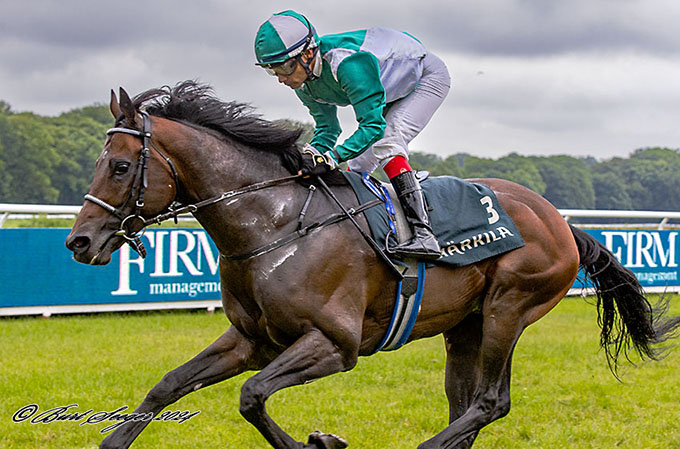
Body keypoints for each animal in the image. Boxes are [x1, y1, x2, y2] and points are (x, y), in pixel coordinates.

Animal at [65, 81, 680, 448]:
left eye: (120, 166)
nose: (78, 241)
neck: (275, 226)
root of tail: (559, 221)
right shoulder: (252, 340)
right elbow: (168, 386)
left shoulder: (335, 344)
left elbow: (252, 396)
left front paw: (318, 442)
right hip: (466, 326)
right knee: (467, 406)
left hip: (509, 310)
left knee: (490, 402)